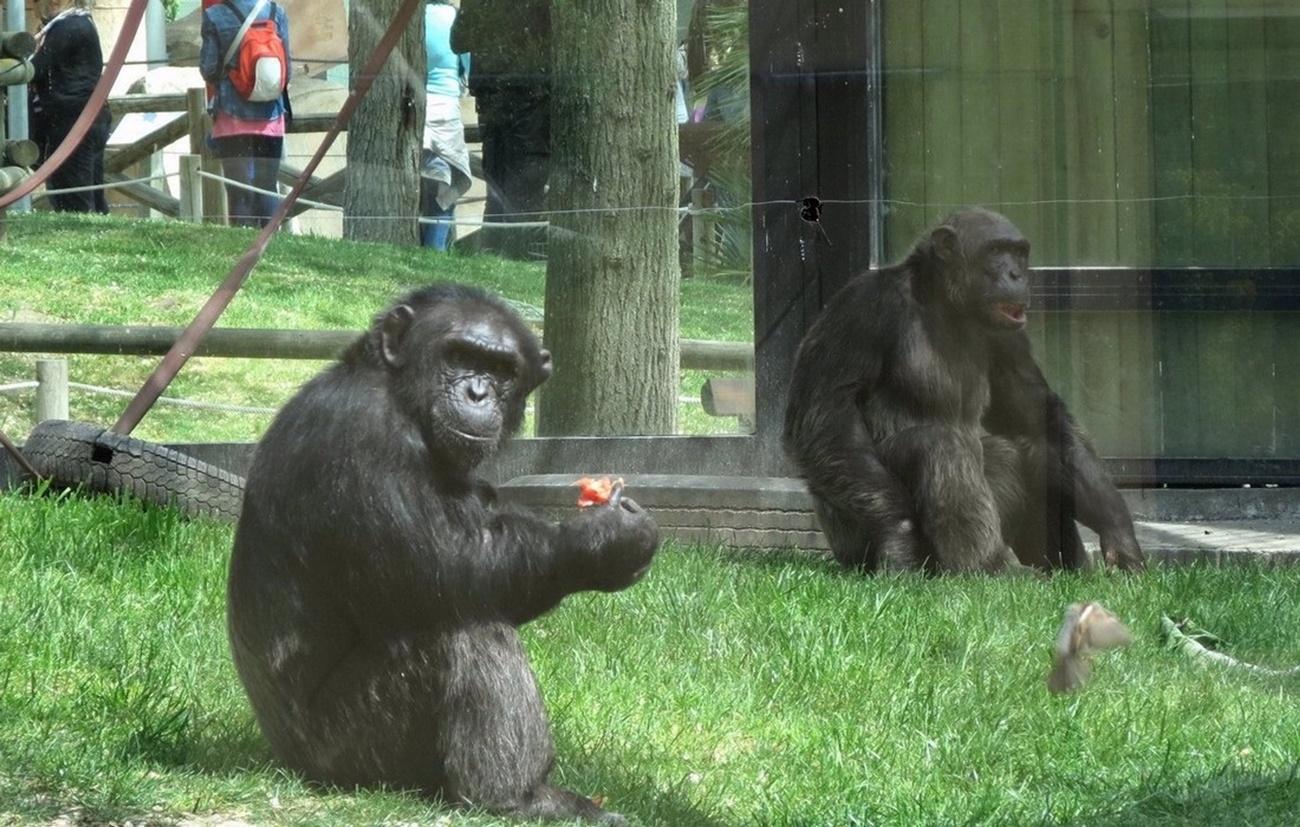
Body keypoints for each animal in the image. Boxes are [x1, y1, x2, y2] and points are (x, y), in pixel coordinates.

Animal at [228, 282, 660, 821]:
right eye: (459, 356)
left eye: (501, 369)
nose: (477, 391)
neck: (398, 395)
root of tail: (285, 763)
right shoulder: (365, 433)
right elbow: (451, 566)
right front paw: (608, 538)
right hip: (353, 750)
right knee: (464, 631)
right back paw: (518, 796)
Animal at [780, 206, 1138, 574]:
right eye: (995, 250)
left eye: (1020, 253)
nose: (1016, 274)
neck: (946, 306)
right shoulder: (862, 309)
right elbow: (827, 414)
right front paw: (898, 535)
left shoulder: (1009, 338)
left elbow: (1034, 414)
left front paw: (1117, 529)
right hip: (850, 532)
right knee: (938, 445)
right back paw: (989, 568)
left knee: (1027, 448)